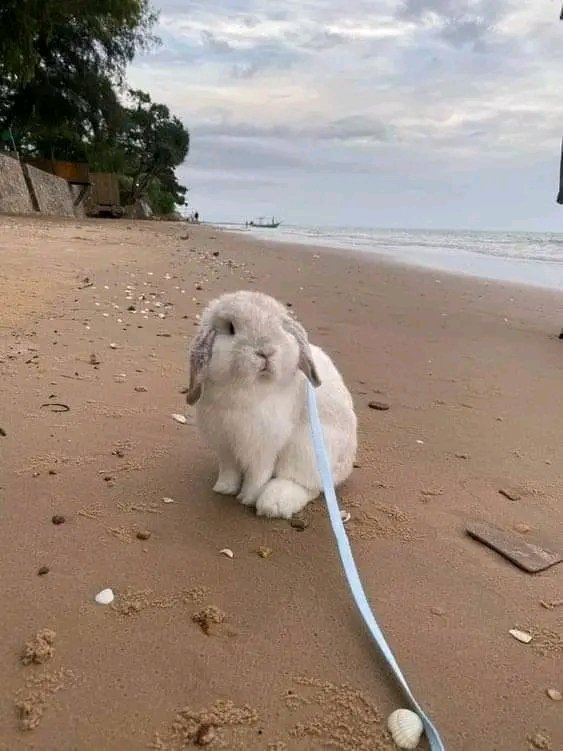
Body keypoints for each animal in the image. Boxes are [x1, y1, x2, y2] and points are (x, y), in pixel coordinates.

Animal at [187, 290, 360, 520]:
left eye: (279, 326)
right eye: (231, 328)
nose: (265, 351)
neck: (246, 387)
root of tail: (346, 469)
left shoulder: (263, 444)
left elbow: (258, 475)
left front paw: (247, 498)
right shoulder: (224, 444)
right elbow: (229, 470)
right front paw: (223, 489)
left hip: (307, 449)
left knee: (307, 485)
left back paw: (274, 503)